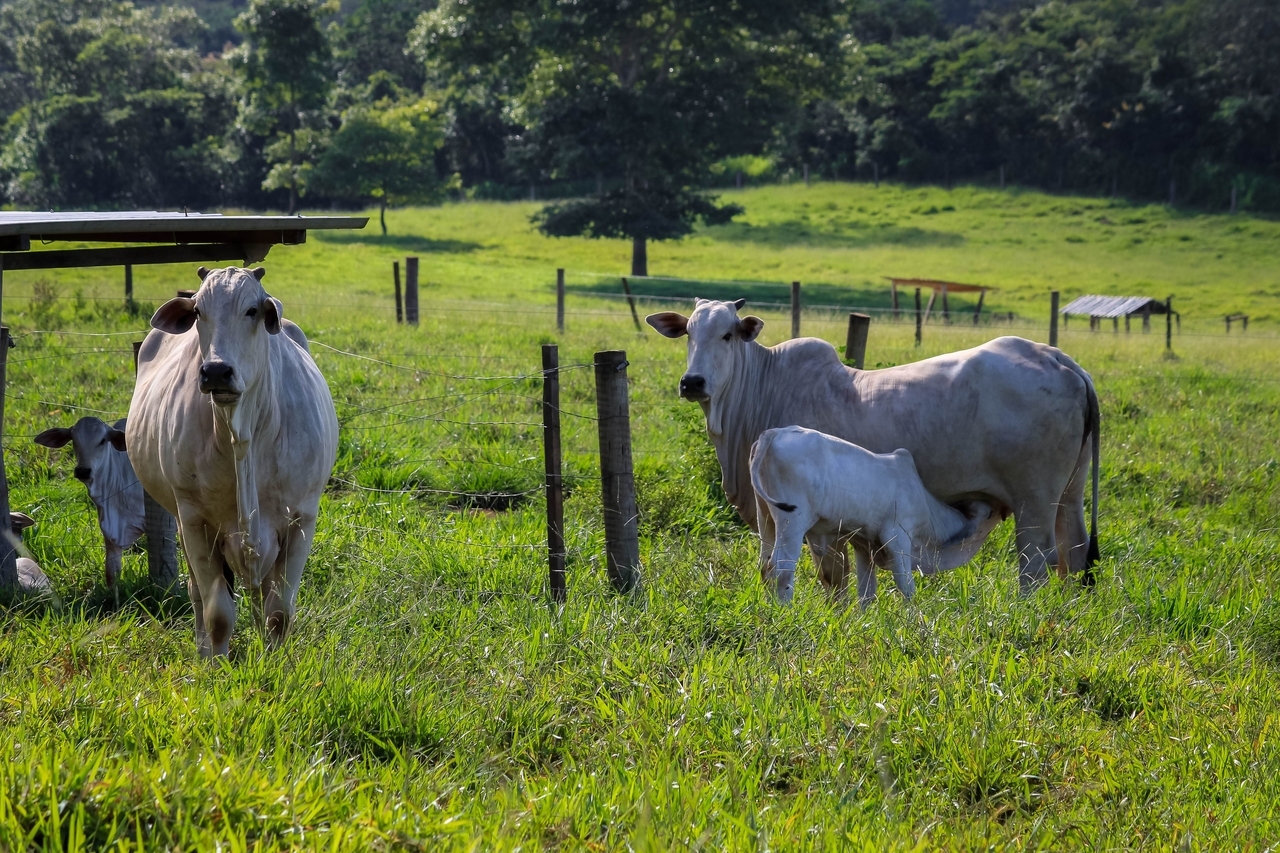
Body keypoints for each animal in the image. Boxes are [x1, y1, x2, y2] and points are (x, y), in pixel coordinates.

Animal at [128, 266, 337, 655]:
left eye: (252, 310)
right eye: (198, 312)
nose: (215, 371)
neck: (243, 437)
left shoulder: (302, 519)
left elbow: (279, 612)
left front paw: (274, 661)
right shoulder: (194, 521)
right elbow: (218, 614)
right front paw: (216, 662)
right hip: (180, 520)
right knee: (198, 594)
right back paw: (202, 650)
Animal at [752, 425, 993, 604]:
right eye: (990, 515)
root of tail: (774, 432)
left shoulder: (864, 546)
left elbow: (866, 593)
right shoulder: (898, 537)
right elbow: (907, 588)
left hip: (766, 518)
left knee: (764, 566)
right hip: (792, 522)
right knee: (780, 571)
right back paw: (785, 611)